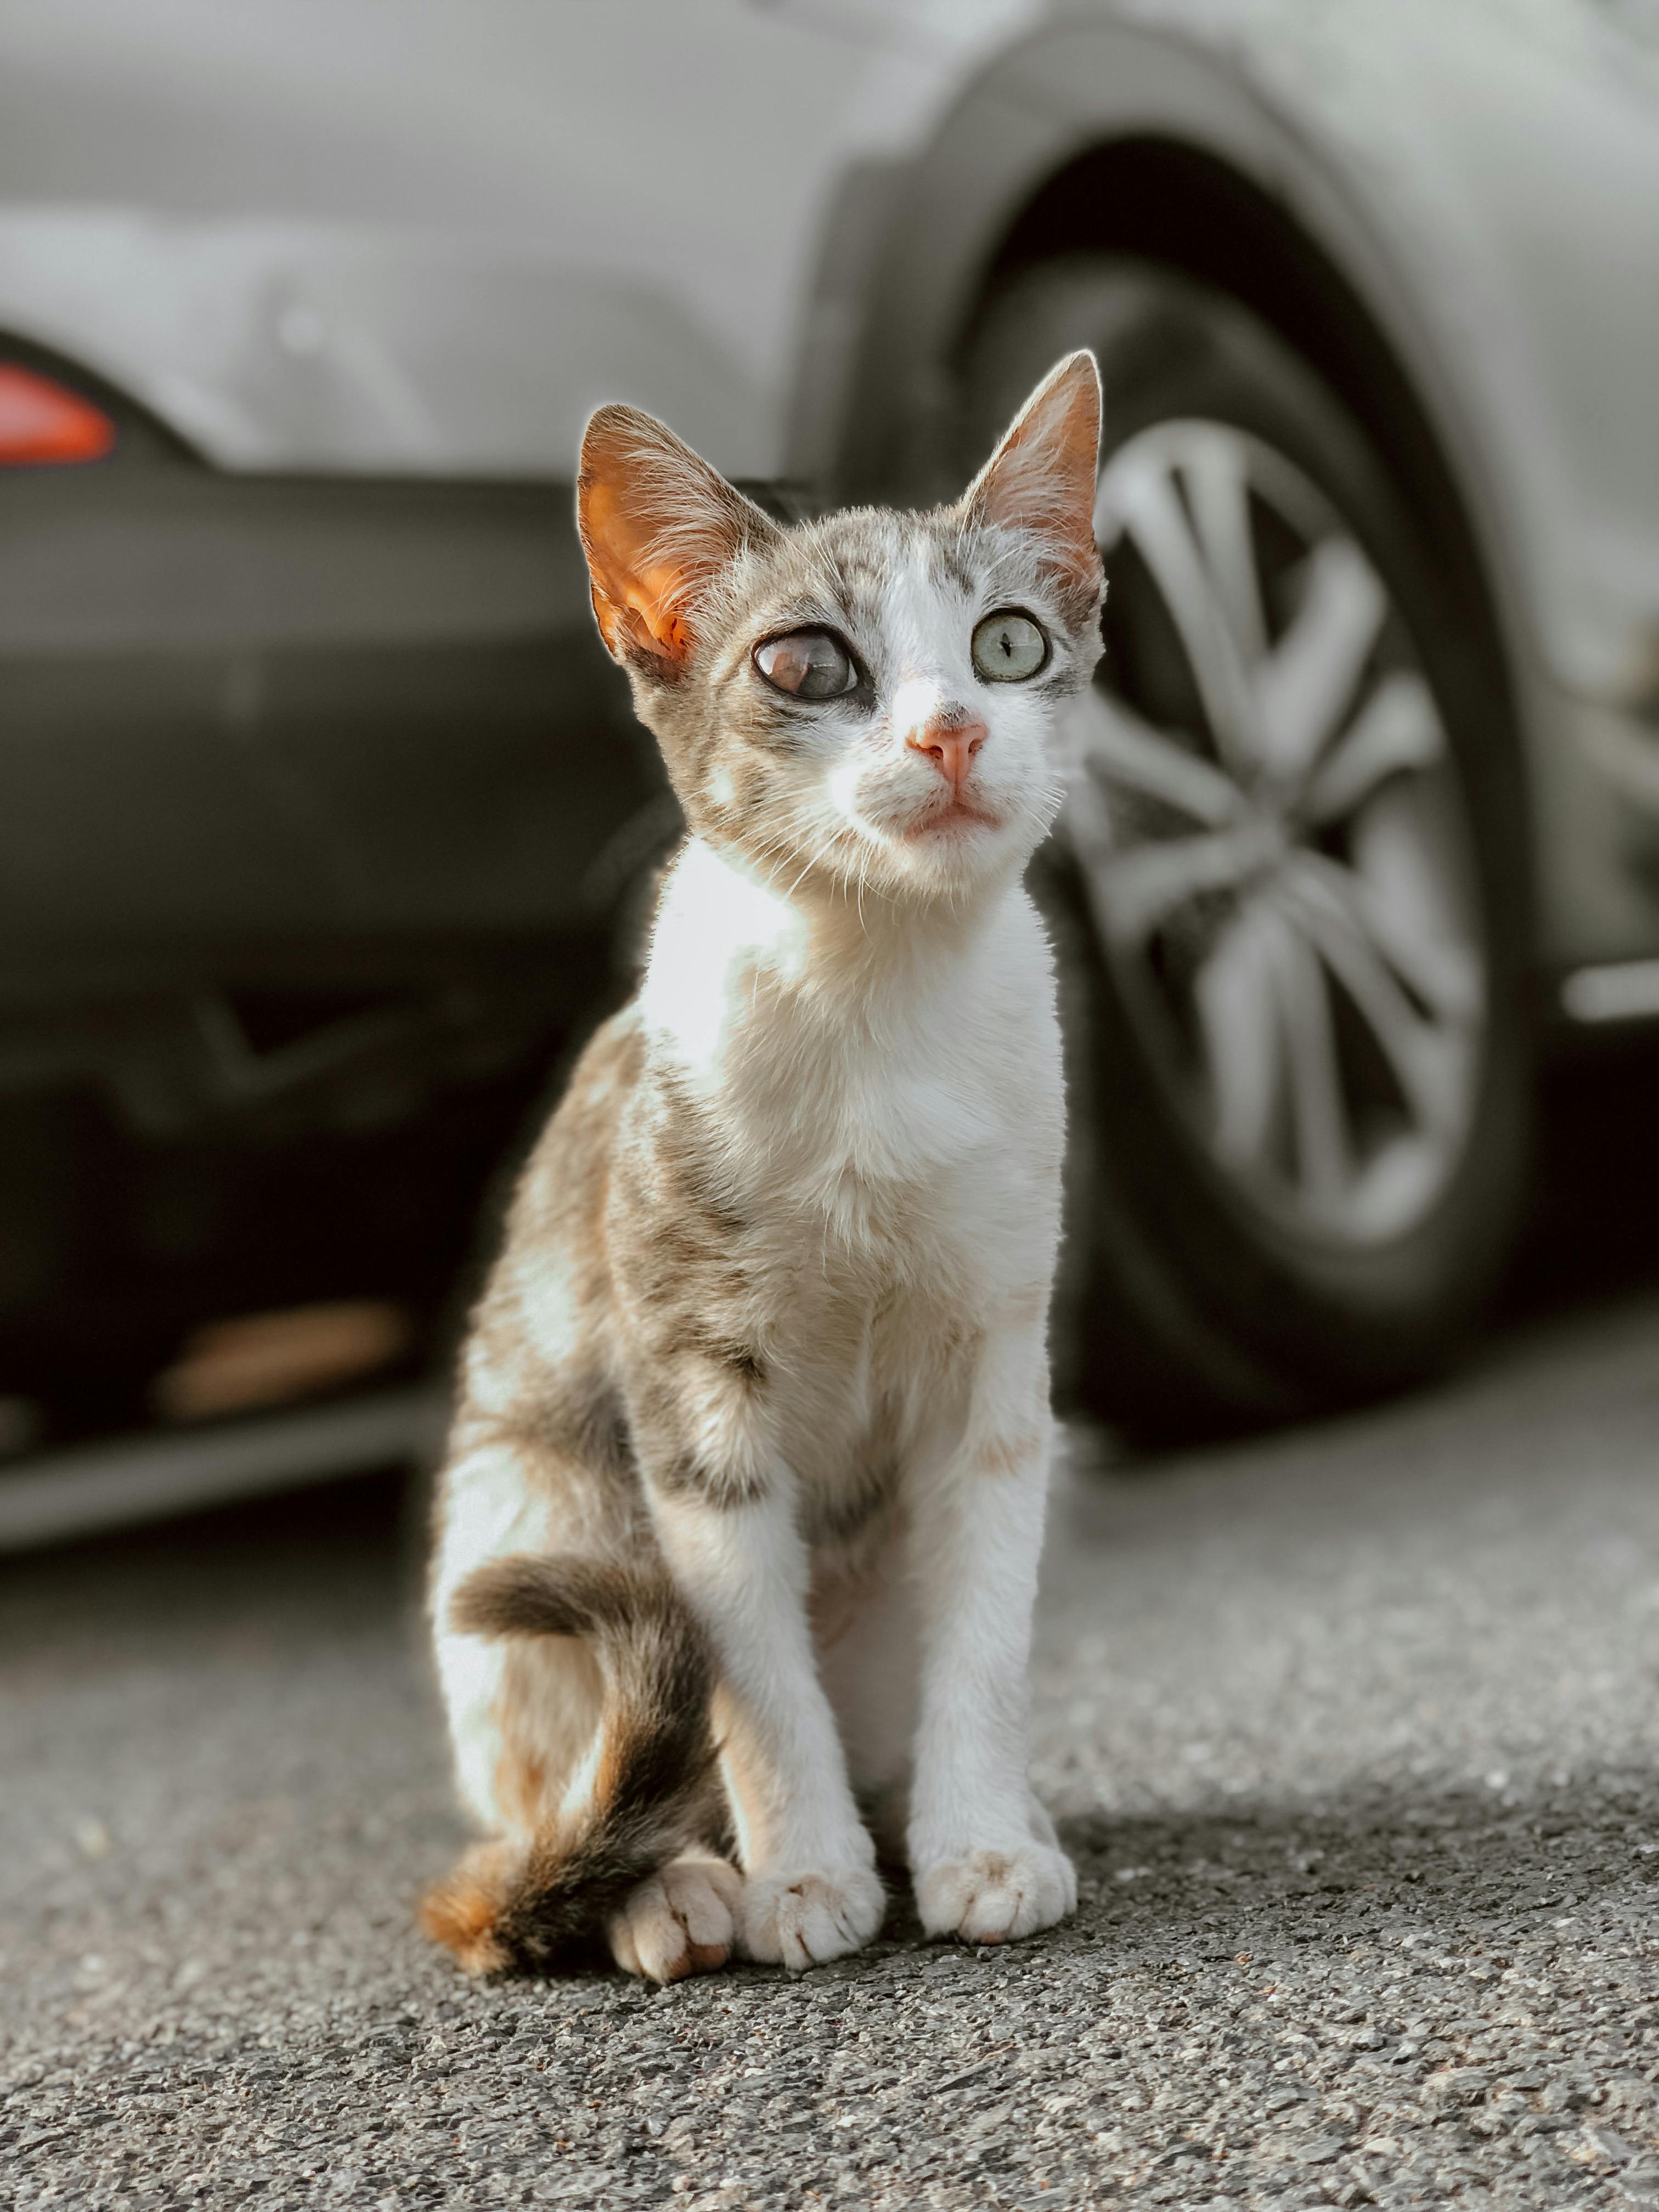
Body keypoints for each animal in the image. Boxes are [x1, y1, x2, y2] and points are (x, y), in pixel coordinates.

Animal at [422, 349, 1110, 1990]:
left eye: (1009, 641)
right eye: (806, 667)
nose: (949, 733)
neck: (877, 1002)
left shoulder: (1000, 1366)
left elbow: (986, 1632)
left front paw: (981, 1843)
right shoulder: (689, 1377)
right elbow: (746, 1665)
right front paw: (803, 1876)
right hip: (528, 1521)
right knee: (567, 1795)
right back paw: (668, 1885)